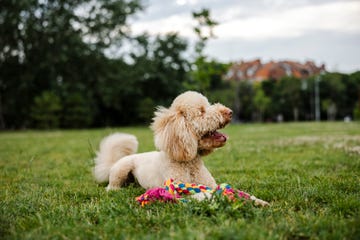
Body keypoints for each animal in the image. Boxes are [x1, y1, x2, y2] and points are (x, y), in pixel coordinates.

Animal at [94, 91, 268, 205]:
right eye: (202, 111)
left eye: (208, 104)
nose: (230, 112)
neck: (189, 163)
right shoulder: (178, 190)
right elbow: (203, 195)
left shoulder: (210, 184)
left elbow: (238, 192)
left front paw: (259, 201)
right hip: (121, 170)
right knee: (111, 186)